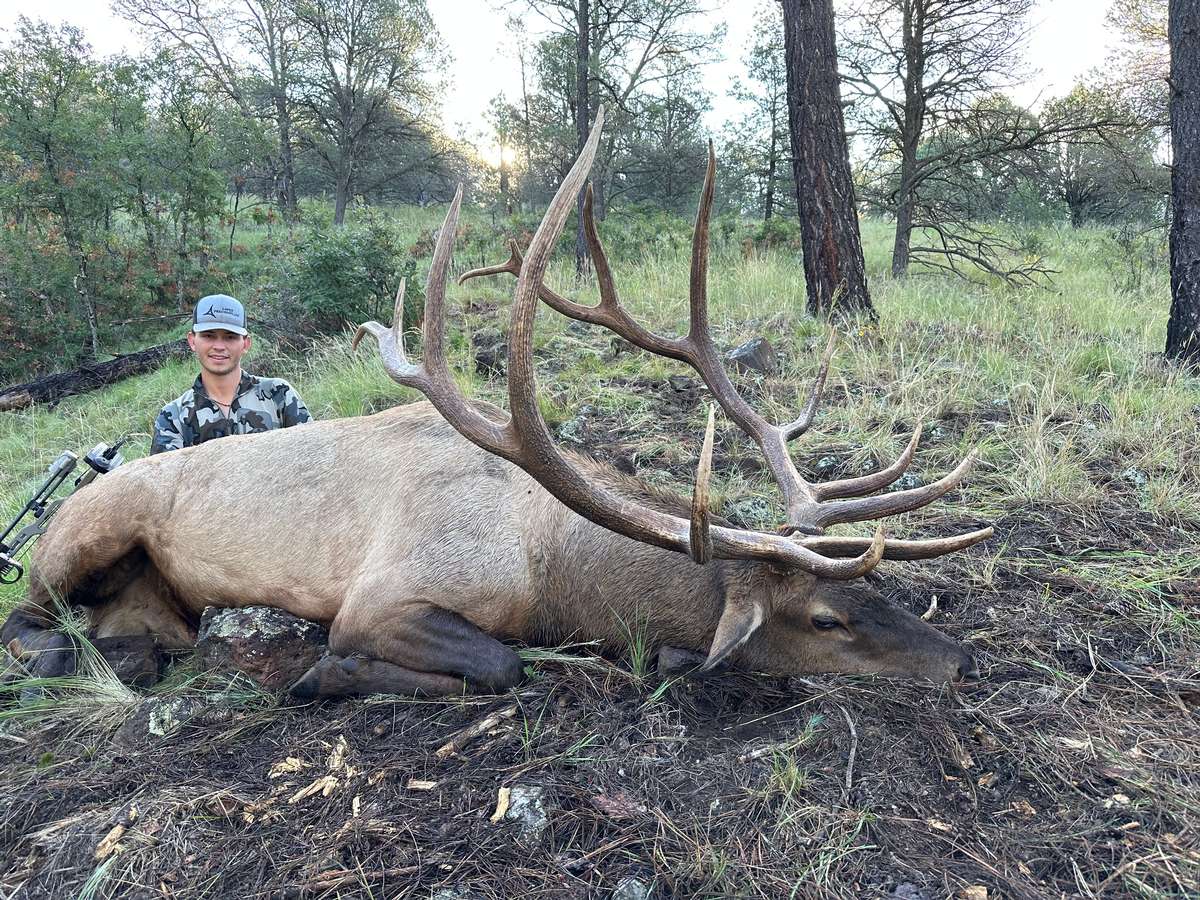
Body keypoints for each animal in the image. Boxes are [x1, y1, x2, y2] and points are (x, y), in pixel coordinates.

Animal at [1, 106, 992, 699]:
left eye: (877, 590)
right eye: (825, 620)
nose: (960, 658)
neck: (551, 568)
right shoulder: (382, 595)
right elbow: (500, 662)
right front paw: (320, 675)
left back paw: (139, 649)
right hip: (82, 529)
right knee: (29, 622)